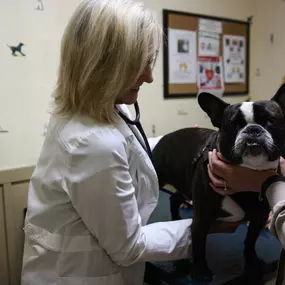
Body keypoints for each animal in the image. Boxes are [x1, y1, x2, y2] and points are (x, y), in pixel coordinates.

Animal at [152, 83, 284, 280]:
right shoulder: (202, 217)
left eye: (271, 120)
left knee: (174, 198)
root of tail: (166, 137)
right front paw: (200, 271)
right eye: (233, 124)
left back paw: (176, 217)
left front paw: (252, 260)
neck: (246, 174)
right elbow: (199, 243)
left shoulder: (259, 216)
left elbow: (250, 240)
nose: (253, 129)